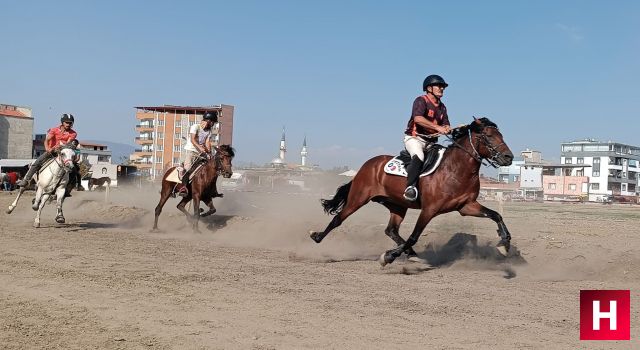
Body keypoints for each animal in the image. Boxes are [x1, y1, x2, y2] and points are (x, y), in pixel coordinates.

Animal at [310, 117, 516, 266]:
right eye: (488, 136)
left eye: (501, 134)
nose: (509, 157)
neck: (456, 170)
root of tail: (367, 165)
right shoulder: (429, 210)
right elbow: (414, 236)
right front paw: (388, 257)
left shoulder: (466, 206)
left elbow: (496, 215)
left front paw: (504, 244)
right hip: (358, 198)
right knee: (338, 219)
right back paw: (317, 236)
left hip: (397, 205)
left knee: (391, 230)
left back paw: (411, 253)